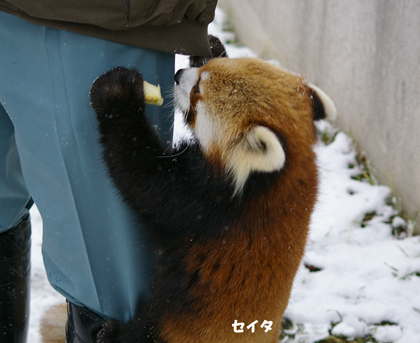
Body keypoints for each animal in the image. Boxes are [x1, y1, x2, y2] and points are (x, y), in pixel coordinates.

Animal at [42, 43, 336, 343]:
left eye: (197, 92)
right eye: (204, 71)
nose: (178, 74)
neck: (275, 179)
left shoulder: (211, 207)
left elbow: (145, 181)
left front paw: (117, 96)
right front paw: (213, 46)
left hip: (165, 329)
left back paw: (107, 333)